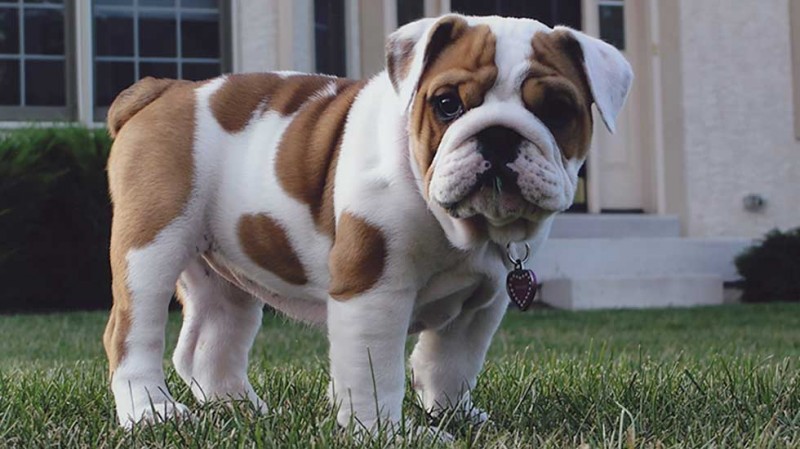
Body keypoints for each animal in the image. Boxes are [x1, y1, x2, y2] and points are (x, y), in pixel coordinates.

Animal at [104, 14, 632, 432]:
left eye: (557, 110)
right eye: (447, 104)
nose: (499, 135)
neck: (460, 228)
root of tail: (166, 88)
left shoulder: (483, 302)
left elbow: (451, 363)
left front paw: (454, 415)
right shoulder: (373, 292)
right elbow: (375, 372)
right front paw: (385, 432)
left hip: (225, 268)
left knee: (211, 341)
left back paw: (241, 409)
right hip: (151, 246)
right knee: (132, 333)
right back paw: (151, 412)